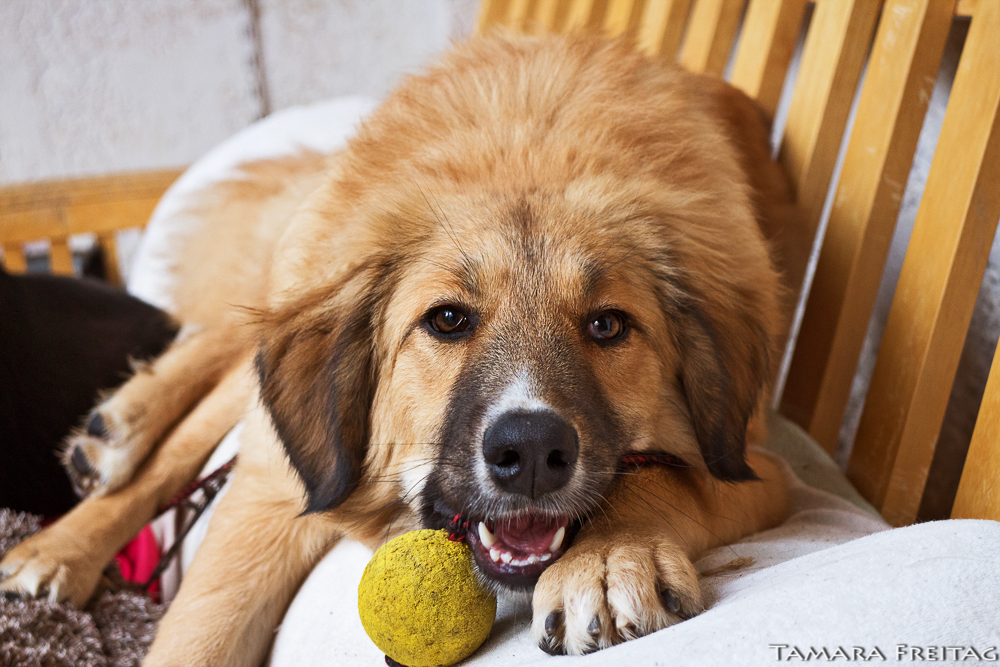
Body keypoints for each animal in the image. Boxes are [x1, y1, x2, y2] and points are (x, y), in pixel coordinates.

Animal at [0, 34, 804, 664]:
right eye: (446, 320)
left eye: (607, 326)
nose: (531, 452)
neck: (524, 161)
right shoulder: (277, 483)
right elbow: (199, 632)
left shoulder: (759, 462)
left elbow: (670, 479)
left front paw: (608, 557)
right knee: (213, 373)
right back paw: (81, 501)